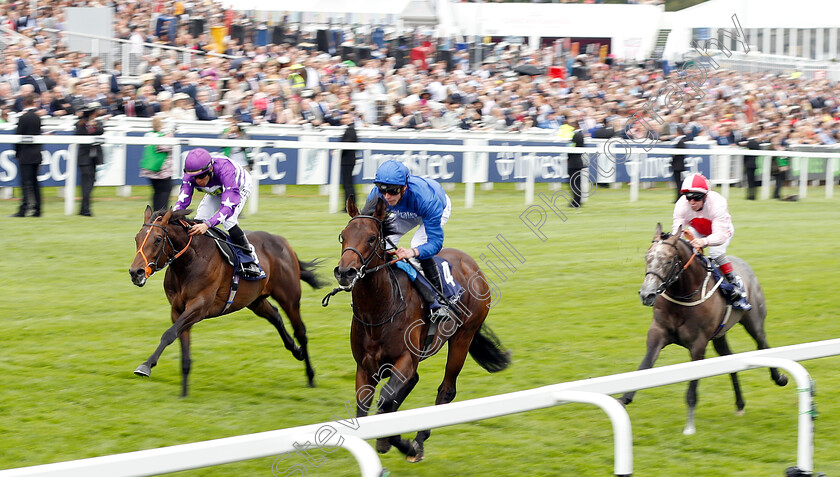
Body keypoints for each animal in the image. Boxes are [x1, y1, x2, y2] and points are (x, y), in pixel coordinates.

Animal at [128, 206, 324, 396]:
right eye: (137, 238)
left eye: (158, 239)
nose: (135, 272)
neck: (190, 261)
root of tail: (284, 243)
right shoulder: (178, 310)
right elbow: (180, 343)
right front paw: (183, 393)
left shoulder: (199, 307)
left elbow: (168, 334)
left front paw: (146, 366)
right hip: (255, 300)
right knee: (275, 316)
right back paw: (296, 350)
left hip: (289, 297)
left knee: (301, 331)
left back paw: (311, 375)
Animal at [332, 197, 508, 462]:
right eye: (343, 235)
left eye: (372, 238)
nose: (345, 272)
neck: (380, 310)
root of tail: (471, 265)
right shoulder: (365, 367)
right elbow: (365, 408)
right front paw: (383, 439)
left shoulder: (405, 359)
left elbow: (386, 400)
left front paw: (402, 443)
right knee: (412, 382)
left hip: (462, 338)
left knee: (446, 390)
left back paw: (418, 441)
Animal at [620, 223, 792, 436]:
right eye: (647, 257)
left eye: (668, 261)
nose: (647, 294)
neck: (683, 294)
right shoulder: (657, 334)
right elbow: (643, 367)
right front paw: (623, 399)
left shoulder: (698, 344)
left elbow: (692, 389)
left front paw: (689, 427)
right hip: (719, 335)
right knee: (729, 359)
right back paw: (740, 404)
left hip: (754, 322)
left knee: (763, 345)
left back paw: (779, 378)